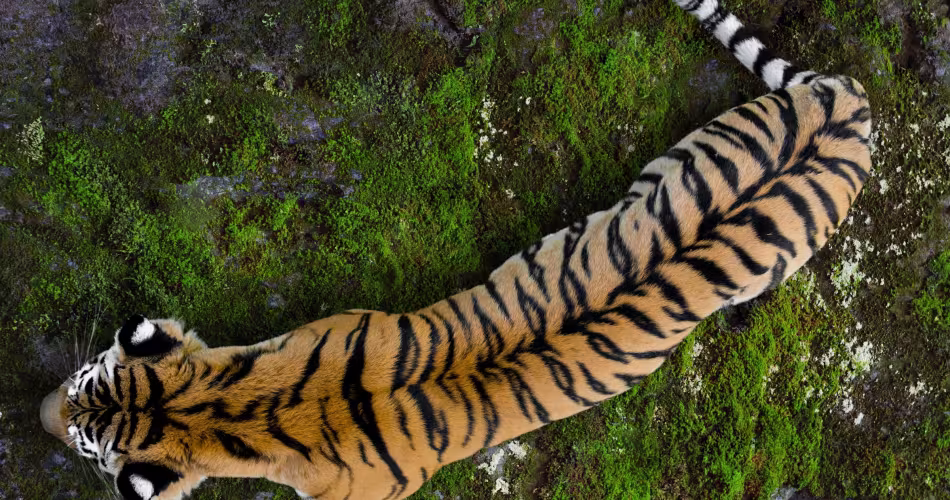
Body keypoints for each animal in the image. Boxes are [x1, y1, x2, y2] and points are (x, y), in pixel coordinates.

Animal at [40, 0, 872, 498]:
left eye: (82, 442)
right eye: (78, 383)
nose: (36, 411)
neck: (227, 405)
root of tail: (850, 100)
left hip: (784, 248)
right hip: (678, 159)